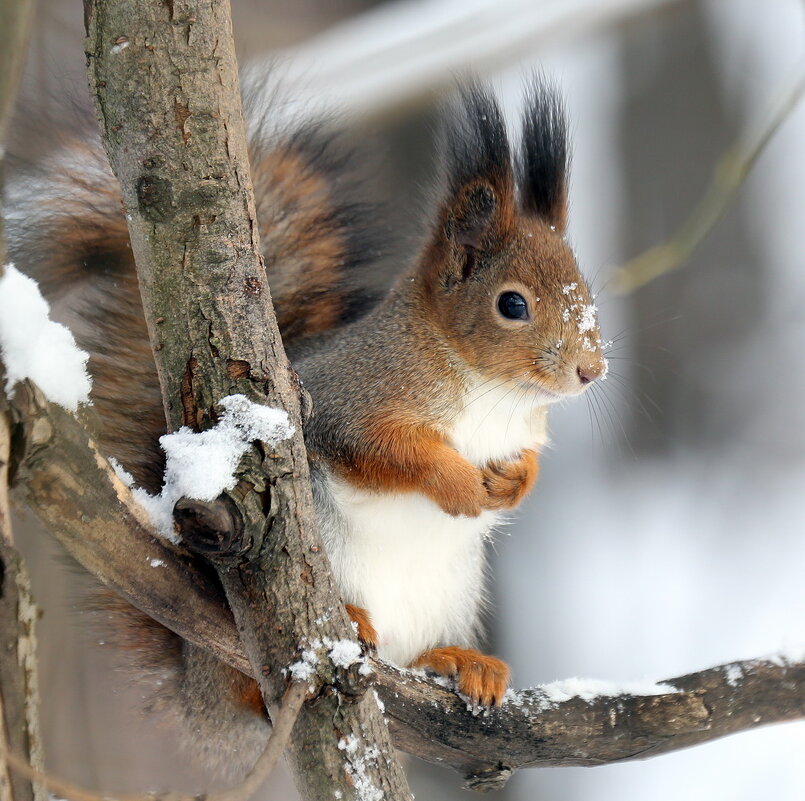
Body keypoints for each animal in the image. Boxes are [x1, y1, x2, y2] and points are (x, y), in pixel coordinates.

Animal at [1, 78, 604, 772]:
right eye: (512, 304)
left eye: (585, 288)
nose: (592, 370)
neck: (489, 393)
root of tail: (199, 695)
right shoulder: (348, 403)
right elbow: (391, 452)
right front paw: (455, 483)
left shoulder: (520, 432)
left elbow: (527, 464)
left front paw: (513, 484)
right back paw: (350, 622)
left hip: (452, 589)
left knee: (413, 656)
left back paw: (462, 661)